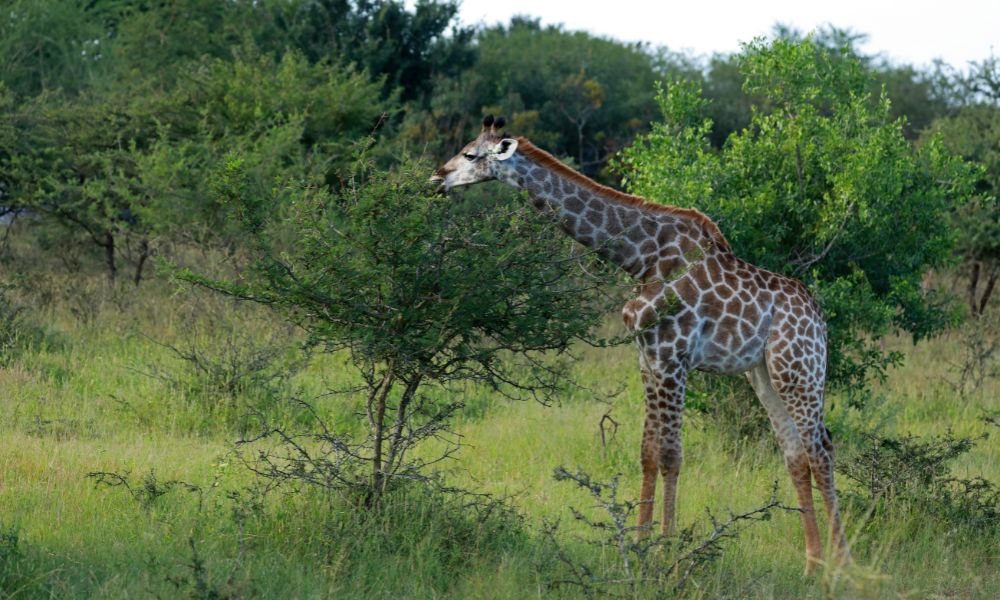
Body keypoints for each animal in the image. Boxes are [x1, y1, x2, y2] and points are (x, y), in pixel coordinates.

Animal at [431, 115, 847, 574]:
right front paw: (638, 547)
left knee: (821, 450)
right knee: (795, 455)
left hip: (800, 370)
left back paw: (841, 565)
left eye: (470, 154)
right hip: (765, 375)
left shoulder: (673, 356)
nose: (437, 177)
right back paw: (812, 565)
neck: (641, 256)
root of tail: (819, 317)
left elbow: (671, 455)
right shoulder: (648, 357)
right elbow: (648, 452)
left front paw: (667, 555)